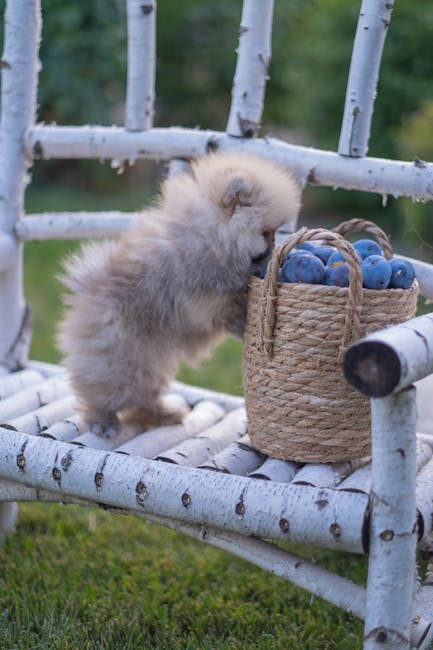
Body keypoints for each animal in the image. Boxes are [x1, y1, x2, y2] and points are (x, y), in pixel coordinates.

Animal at [57, 151, 300, 436]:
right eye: (266, 233)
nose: (274, 250)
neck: (210, 237)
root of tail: (86, 289)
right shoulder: (204, 298)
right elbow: (229, 310)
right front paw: (246, 325)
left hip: (149, 362)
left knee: (142, 395)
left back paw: (163, 414)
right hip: (118, 354)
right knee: (104, 389)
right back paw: (103, 420)